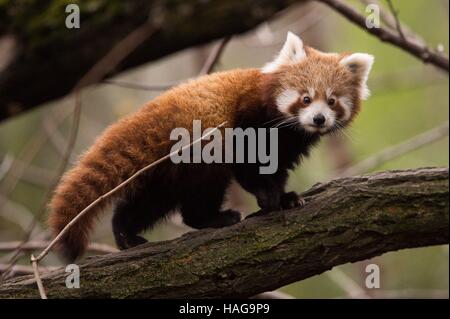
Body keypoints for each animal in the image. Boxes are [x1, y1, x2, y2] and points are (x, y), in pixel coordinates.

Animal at [47, 33, 374, 262]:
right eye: (306, 98)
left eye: (331, 101)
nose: (319, 119)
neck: (290, 129)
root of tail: (153, 115)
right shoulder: (250, 119)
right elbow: (249, 164)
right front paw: (269, 197)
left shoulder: (288, 146)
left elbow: (278, 168)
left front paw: (285, 198)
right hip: (199, 146)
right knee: (202, 190)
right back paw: (213, 218)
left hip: (165, 170)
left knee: (151, 202)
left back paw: (126, 233)